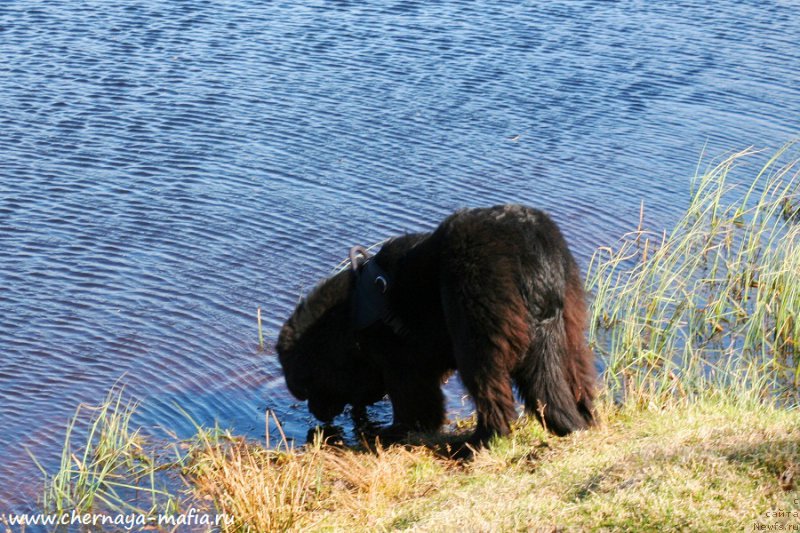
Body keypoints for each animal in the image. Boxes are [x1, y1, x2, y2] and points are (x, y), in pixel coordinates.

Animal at [276, 206, 592, 446]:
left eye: (306, 388)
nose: (317, 415)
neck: (350, 316)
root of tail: (536, 259)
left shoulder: (402, 363)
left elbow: (414, 403)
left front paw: (396, 433)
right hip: (569, 326)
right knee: (576, 378)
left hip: (475, 330)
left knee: (493, 397)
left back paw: (477, 443)